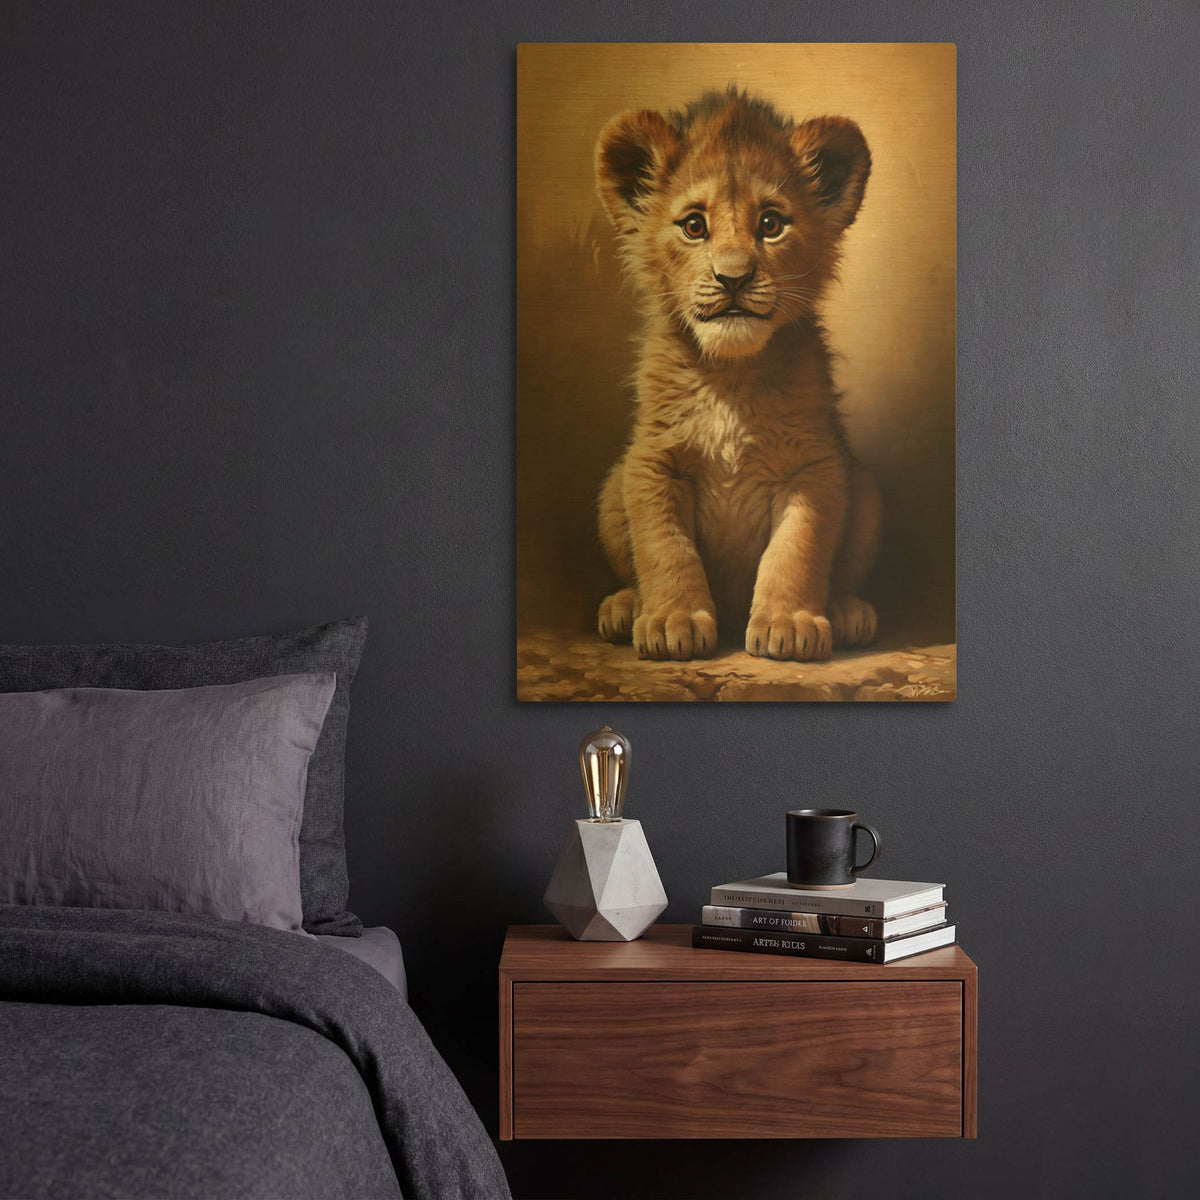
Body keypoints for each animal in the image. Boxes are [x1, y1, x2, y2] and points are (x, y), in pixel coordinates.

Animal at [593, 87, 882, 663]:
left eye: (770, 224)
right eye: (694, 226)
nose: (733, 278)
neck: (730, 374)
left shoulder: (814, 466)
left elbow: (796, 551)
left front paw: (789, 623)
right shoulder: (651, 463)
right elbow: (665, 548)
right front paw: (672, 622)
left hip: (864, 490)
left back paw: (847, 613)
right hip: (612, 488)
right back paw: (624, 608)